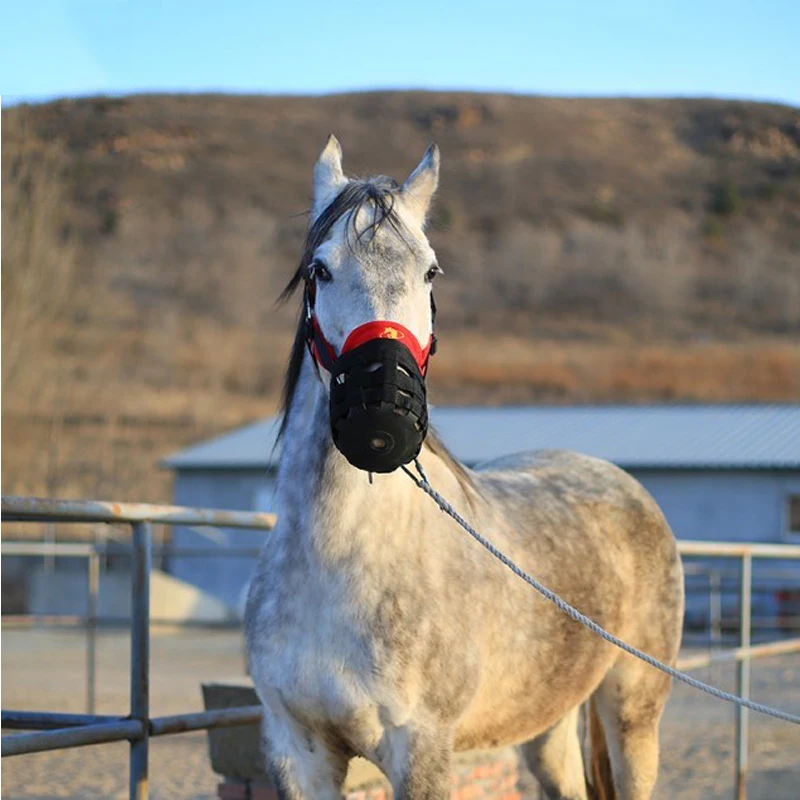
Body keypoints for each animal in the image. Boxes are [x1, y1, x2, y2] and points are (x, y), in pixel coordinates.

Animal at [242, 139, 680, 800]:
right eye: (320, 269)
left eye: (430, 271)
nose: (382, 413)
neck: (338, 564)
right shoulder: (297, 752)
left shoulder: (423, 750)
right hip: (546, 724)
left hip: (633, 711)